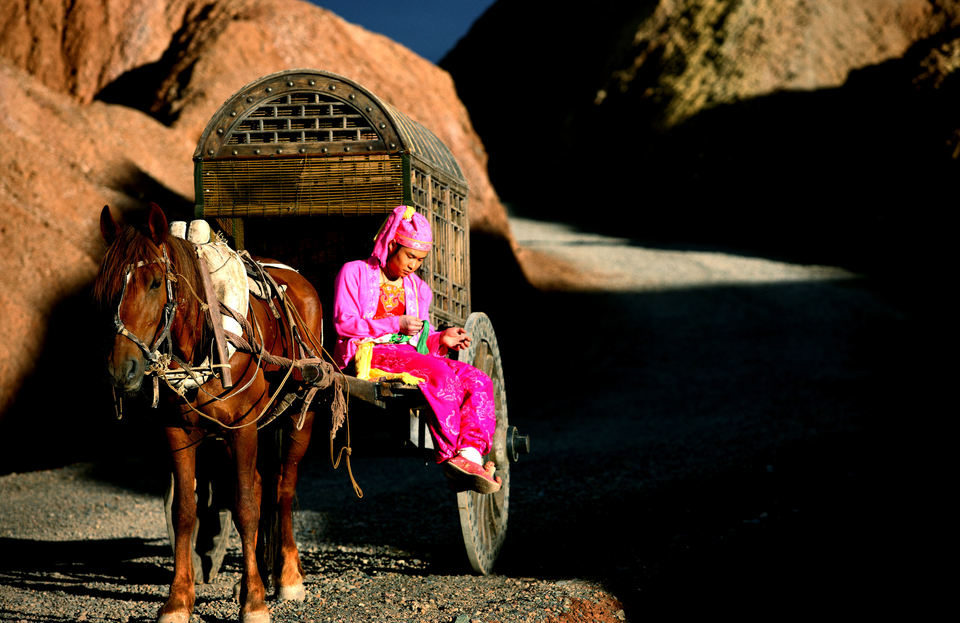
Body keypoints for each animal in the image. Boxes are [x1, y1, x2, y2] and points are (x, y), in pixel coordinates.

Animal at [95, 205, 324, 623]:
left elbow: (246, 508)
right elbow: (186, 512)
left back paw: (287, 578)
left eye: (155, 283)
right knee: (264, 486)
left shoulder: (242, 428)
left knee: (282, 488)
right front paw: (178, 601)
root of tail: (295, 276)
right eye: (105, 289)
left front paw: (255, 603)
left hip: (302, 412)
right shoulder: (177, 433)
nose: (122, 369)